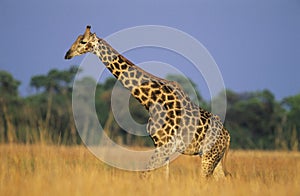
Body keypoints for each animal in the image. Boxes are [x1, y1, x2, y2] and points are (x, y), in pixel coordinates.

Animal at [64, 25, 231, 178]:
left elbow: (144, 174)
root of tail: (227, 136)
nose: (67, 54)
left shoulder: (163, 145)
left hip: (209, 156)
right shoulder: (162, 146)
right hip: (213, 157)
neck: (150, 101)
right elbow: (163, 177)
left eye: (83, 41)